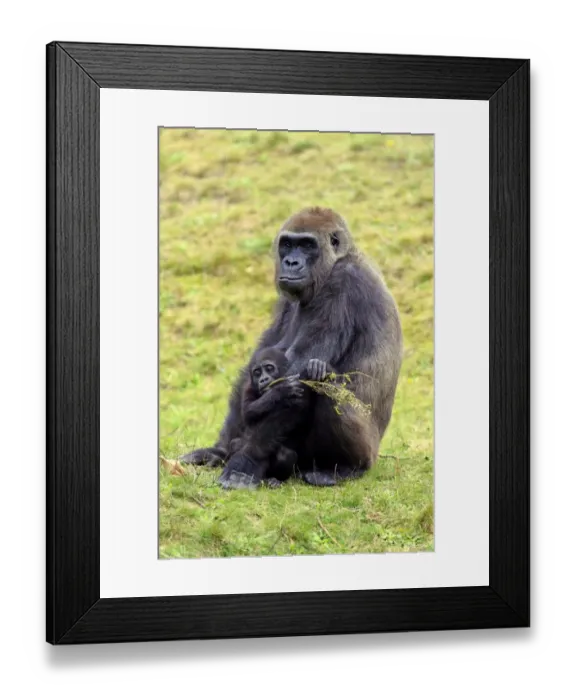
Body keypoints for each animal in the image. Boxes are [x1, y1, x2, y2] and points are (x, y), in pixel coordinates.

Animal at [180, 207, 403, 490]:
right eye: (287, 244)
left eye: (307, 245)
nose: (291, 263)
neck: (338, 259)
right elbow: (257, 365)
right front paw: (220, 450)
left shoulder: (344, 283)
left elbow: (300, 376)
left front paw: (244, 464)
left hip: (368, 451)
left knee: (325, 384)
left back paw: (345, 468)